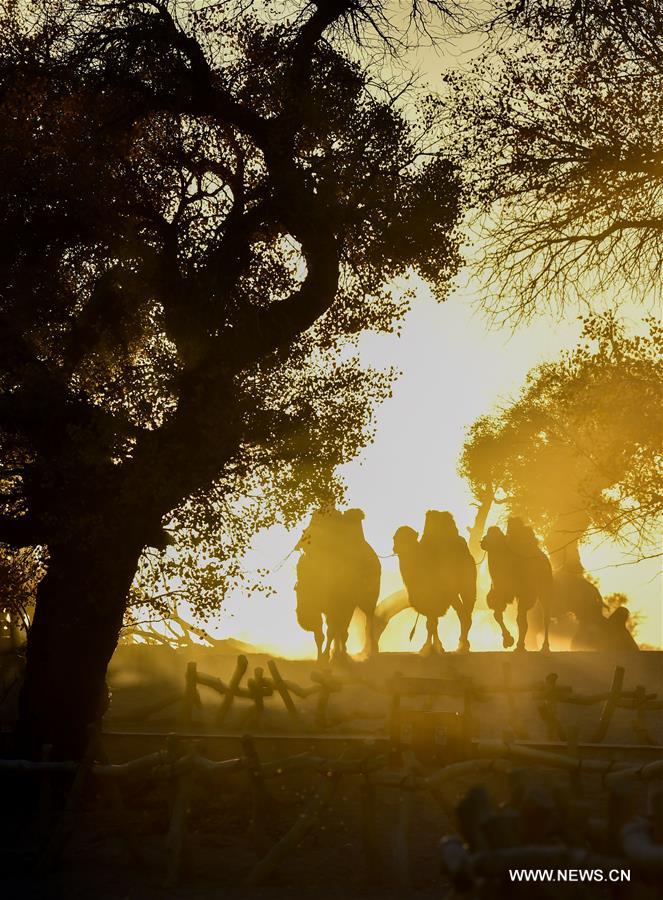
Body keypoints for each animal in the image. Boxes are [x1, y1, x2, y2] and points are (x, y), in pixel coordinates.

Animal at [480, 520, 552, 652]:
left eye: (499, 538)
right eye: (487, 535)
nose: (483, 542)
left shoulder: (525, 595)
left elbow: (521, 620)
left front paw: (519, 646)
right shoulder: (499, 594)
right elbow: (497, 614)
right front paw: (508, 641)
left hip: (546, 590)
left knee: (546, 617)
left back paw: (545, 646)